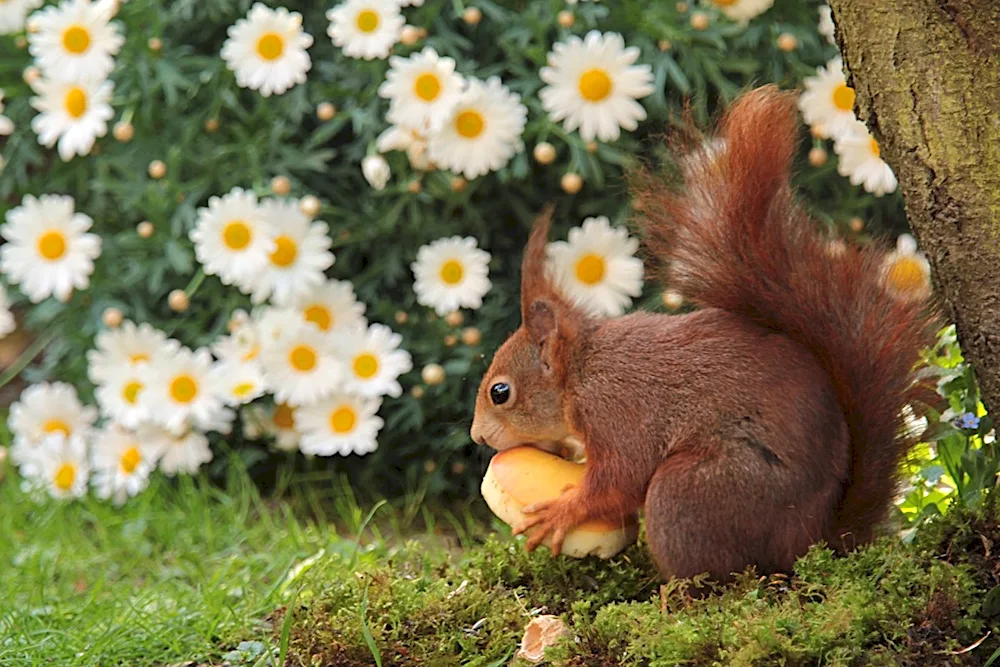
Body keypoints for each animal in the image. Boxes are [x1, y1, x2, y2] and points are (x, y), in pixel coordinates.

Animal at [468, 85, 936, 584]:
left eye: (500, 392)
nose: (477, 438)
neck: (581, 373)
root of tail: (814, 539)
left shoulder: (618, 413)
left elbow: (619, 479)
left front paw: (564, 511)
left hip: (690, 493)